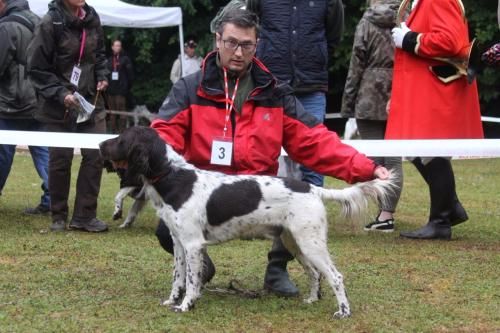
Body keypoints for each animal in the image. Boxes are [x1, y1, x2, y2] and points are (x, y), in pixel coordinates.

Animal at [99, 126, 396, 316]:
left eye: (122, 138)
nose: (100, 145)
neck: (175, 176)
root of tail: (312, 188)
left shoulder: (193, 244)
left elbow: (192, 281)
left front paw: (186, 306)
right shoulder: (179, 242)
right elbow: (178, 278)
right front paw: (172, 301)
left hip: (310, 242)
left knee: (335, 276)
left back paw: (343, 311)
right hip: (295, 241)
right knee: (314, 274)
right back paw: (311, 300)